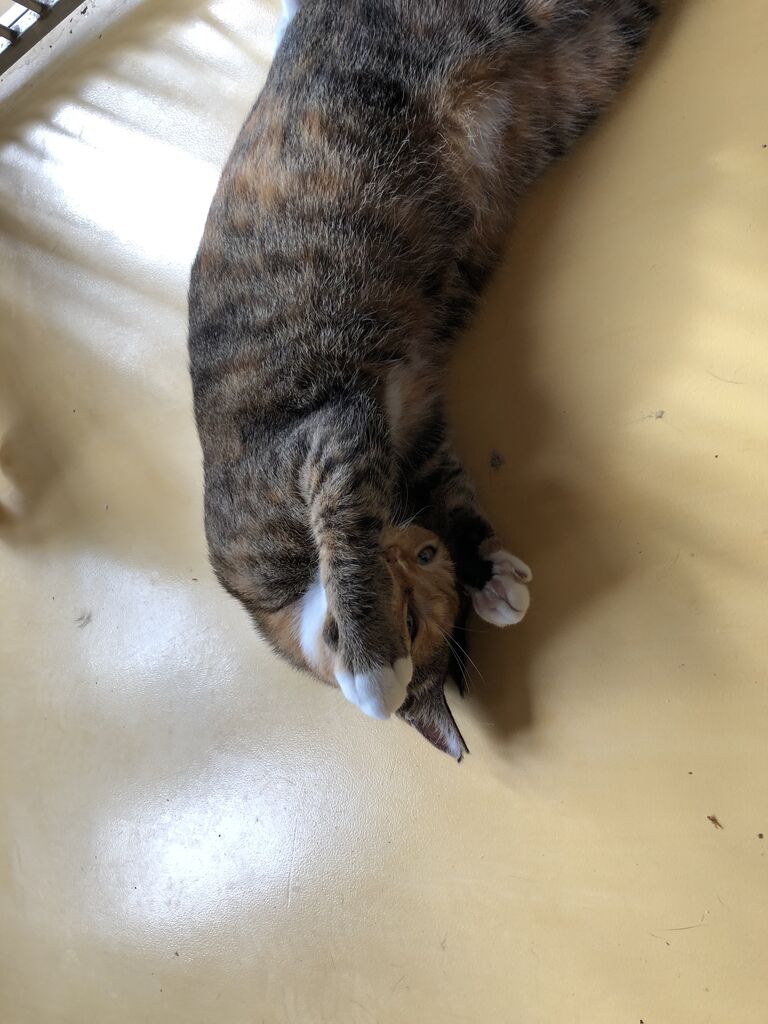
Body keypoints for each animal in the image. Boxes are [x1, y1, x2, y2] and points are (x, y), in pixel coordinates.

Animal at [188, 0, 660, 758]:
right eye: (429, 562)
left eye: (411, 611)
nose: (410, 554)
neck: (278, 595)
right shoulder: (401, 434)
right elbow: (449, 486)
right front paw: (490, 576)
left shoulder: (329, 435)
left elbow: (345, 537)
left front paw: (372, 662)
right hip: (599, 58)